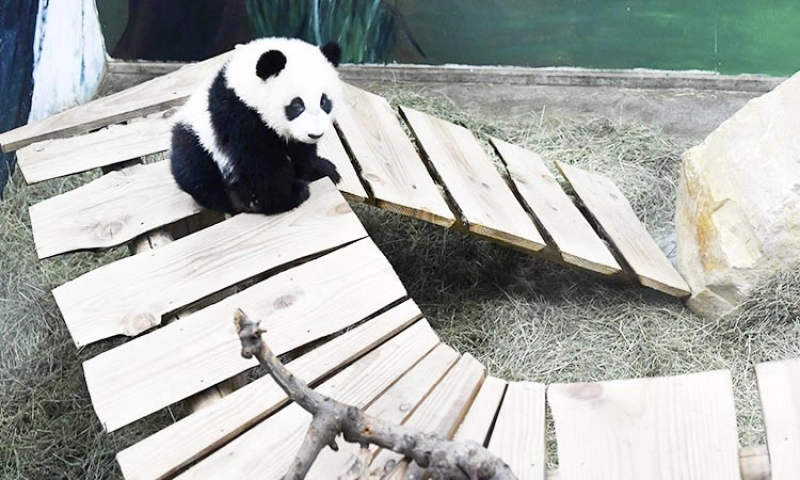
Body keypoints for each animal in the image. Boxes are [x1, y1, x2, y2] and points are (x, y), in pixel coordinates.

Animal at [170, 37, 343, 215]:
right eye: (297, 105)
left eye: (324, 101)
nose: (315, 135)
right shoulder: (238, 116)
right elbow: (260, 161)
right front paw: (287, 197)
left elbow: (301, 150)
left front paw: (321, 170)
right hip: (197, 144)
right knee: (197, 172)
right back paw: (242, 200)